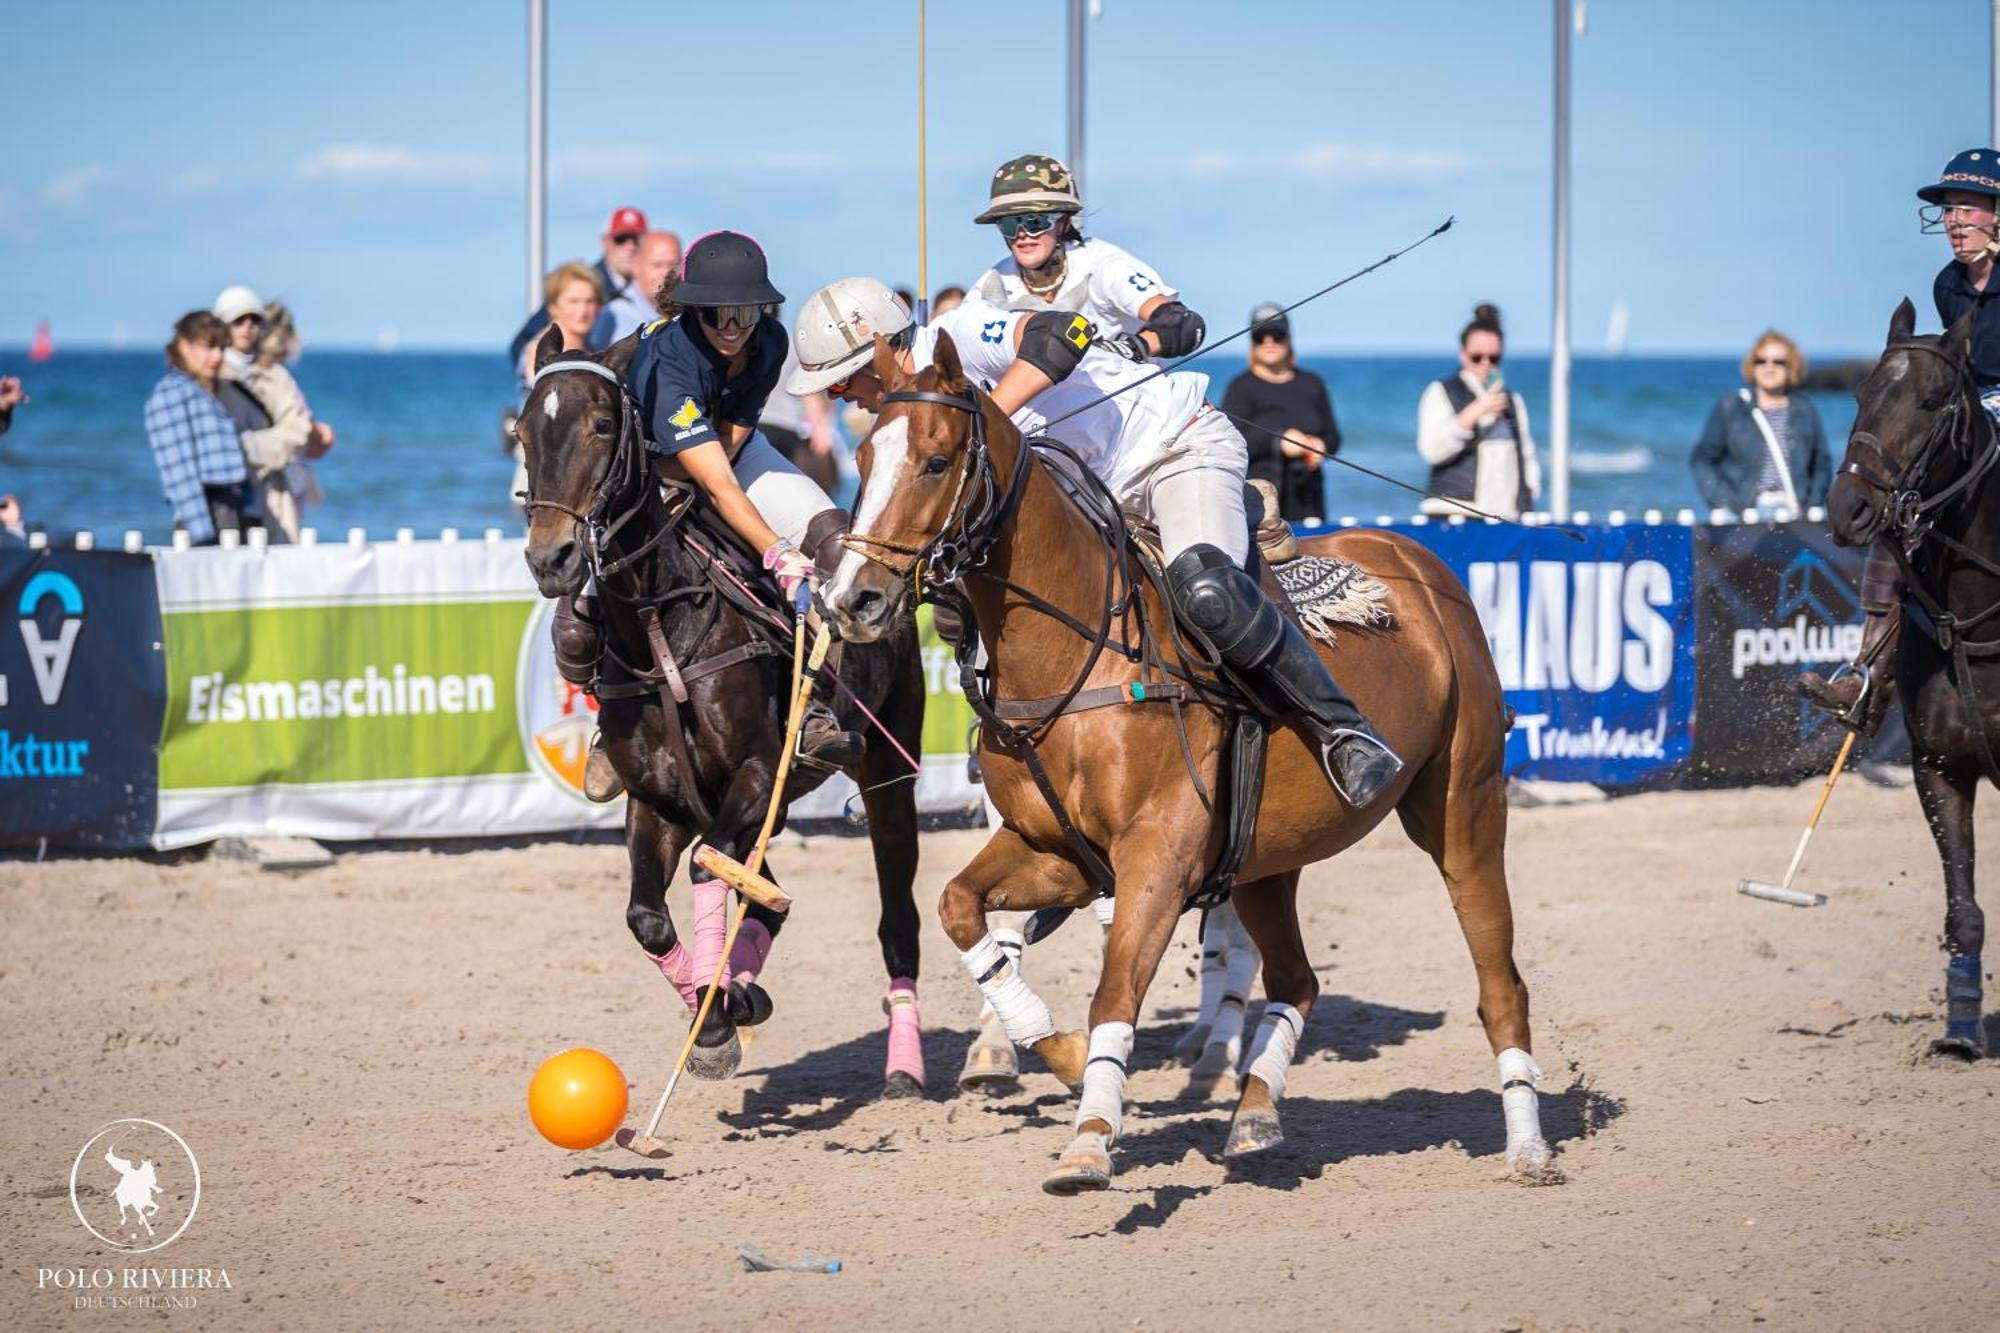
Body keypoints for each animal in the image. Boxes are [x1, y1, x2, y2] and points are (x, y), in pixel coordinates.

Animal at [508, 324, 928, 1088]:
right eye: (523, 430)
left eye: (603, 424)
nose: (551, 560)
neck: (660, 625)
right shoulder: (659, 799)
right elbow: (647, 914)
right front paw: (715, 1012)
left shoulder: (757, 775)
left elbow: (708, 869)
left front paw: (714, 1016)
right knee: (769, 896)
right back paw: (742, 988)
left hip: (886, 775)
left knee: (896, 920)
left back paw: (903, 1065)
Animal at [820, 334, 1552, 1192]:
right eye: (863, 457)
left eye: (936, 461)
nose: (852, 599)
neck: (1077, 653)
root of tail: (1423, 562)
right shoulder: (1057, 851)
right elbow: (959, 906)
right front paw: (1059, 1054)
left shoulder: (1158, 854)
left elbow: (1115, 988)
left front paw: (1090, 1136)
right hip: (1268, 855)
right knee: (1297, 978)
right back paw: (1257, 1111)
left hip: (1464, 805)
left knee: (1499, 980)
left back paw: (1528, 1144)